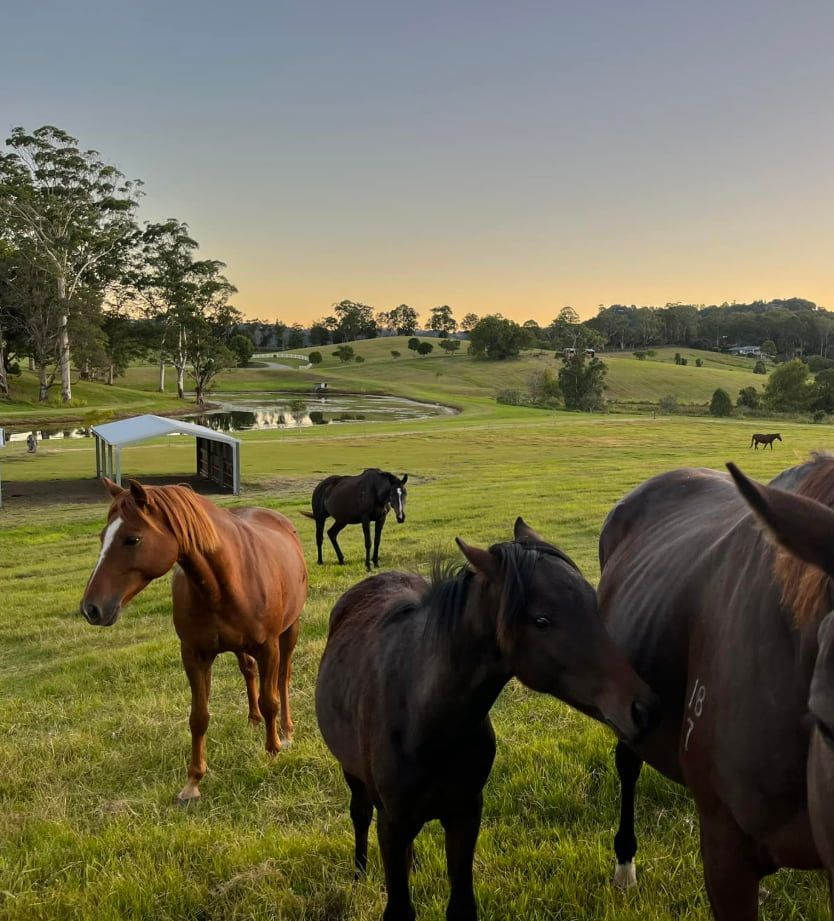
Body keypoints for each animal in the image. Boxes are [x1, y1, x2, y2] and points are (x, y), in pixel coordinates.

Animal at [80, 478, 307, 802]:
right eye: (102, 536)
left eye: (132, 539)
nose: (91, 608)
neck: (228, 578)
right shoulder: (194, 655)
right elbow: (198, 717)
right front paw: (193, 781)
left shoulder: (268, 647)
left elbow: (270, 701)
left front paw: (273, 749)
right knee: (248, 671)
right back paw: (252, 719)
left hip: (290, 630)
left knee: (283, 678)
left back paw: (286, 731)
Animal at [316, 518, 658, 921]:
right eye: (542, 620)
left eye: (594, 604)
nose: (641, 708)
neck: (424, 717)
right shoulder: (394, 822)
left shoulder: (465, 813)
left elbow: (461, 906)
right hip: (352, 774)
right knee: (359, 813)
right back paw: (359, 873)